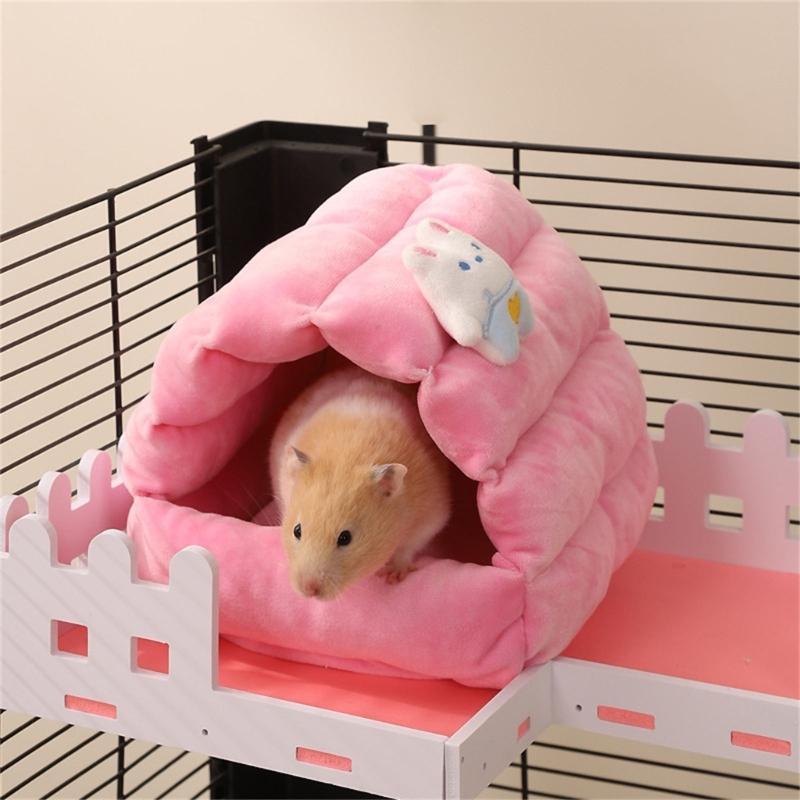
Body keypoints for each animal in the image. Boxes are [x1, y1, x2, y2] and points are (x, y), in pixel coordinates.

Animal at [269, 367, 451, 600]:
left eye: (345, 538)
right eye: (297, 530)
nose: (308, 590)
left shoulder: (432, 514)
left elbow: (410, 545)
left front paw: (392, 576)